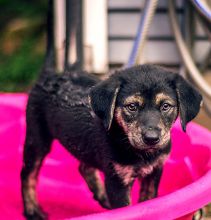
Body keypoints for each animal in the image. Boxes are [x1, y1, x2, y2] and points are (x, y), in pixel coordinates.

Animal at [20, 63, 202, 218]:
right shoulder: (117, 181)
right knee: (27, 174)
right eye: (132, 107)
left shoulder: (155, 170)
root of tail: (49, 74)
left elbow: (148, 202)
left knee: (84, 167)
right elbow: (126, 210)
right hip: (37, 138)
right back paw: (32, 210)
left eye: (165, 106)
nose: (151, 139)